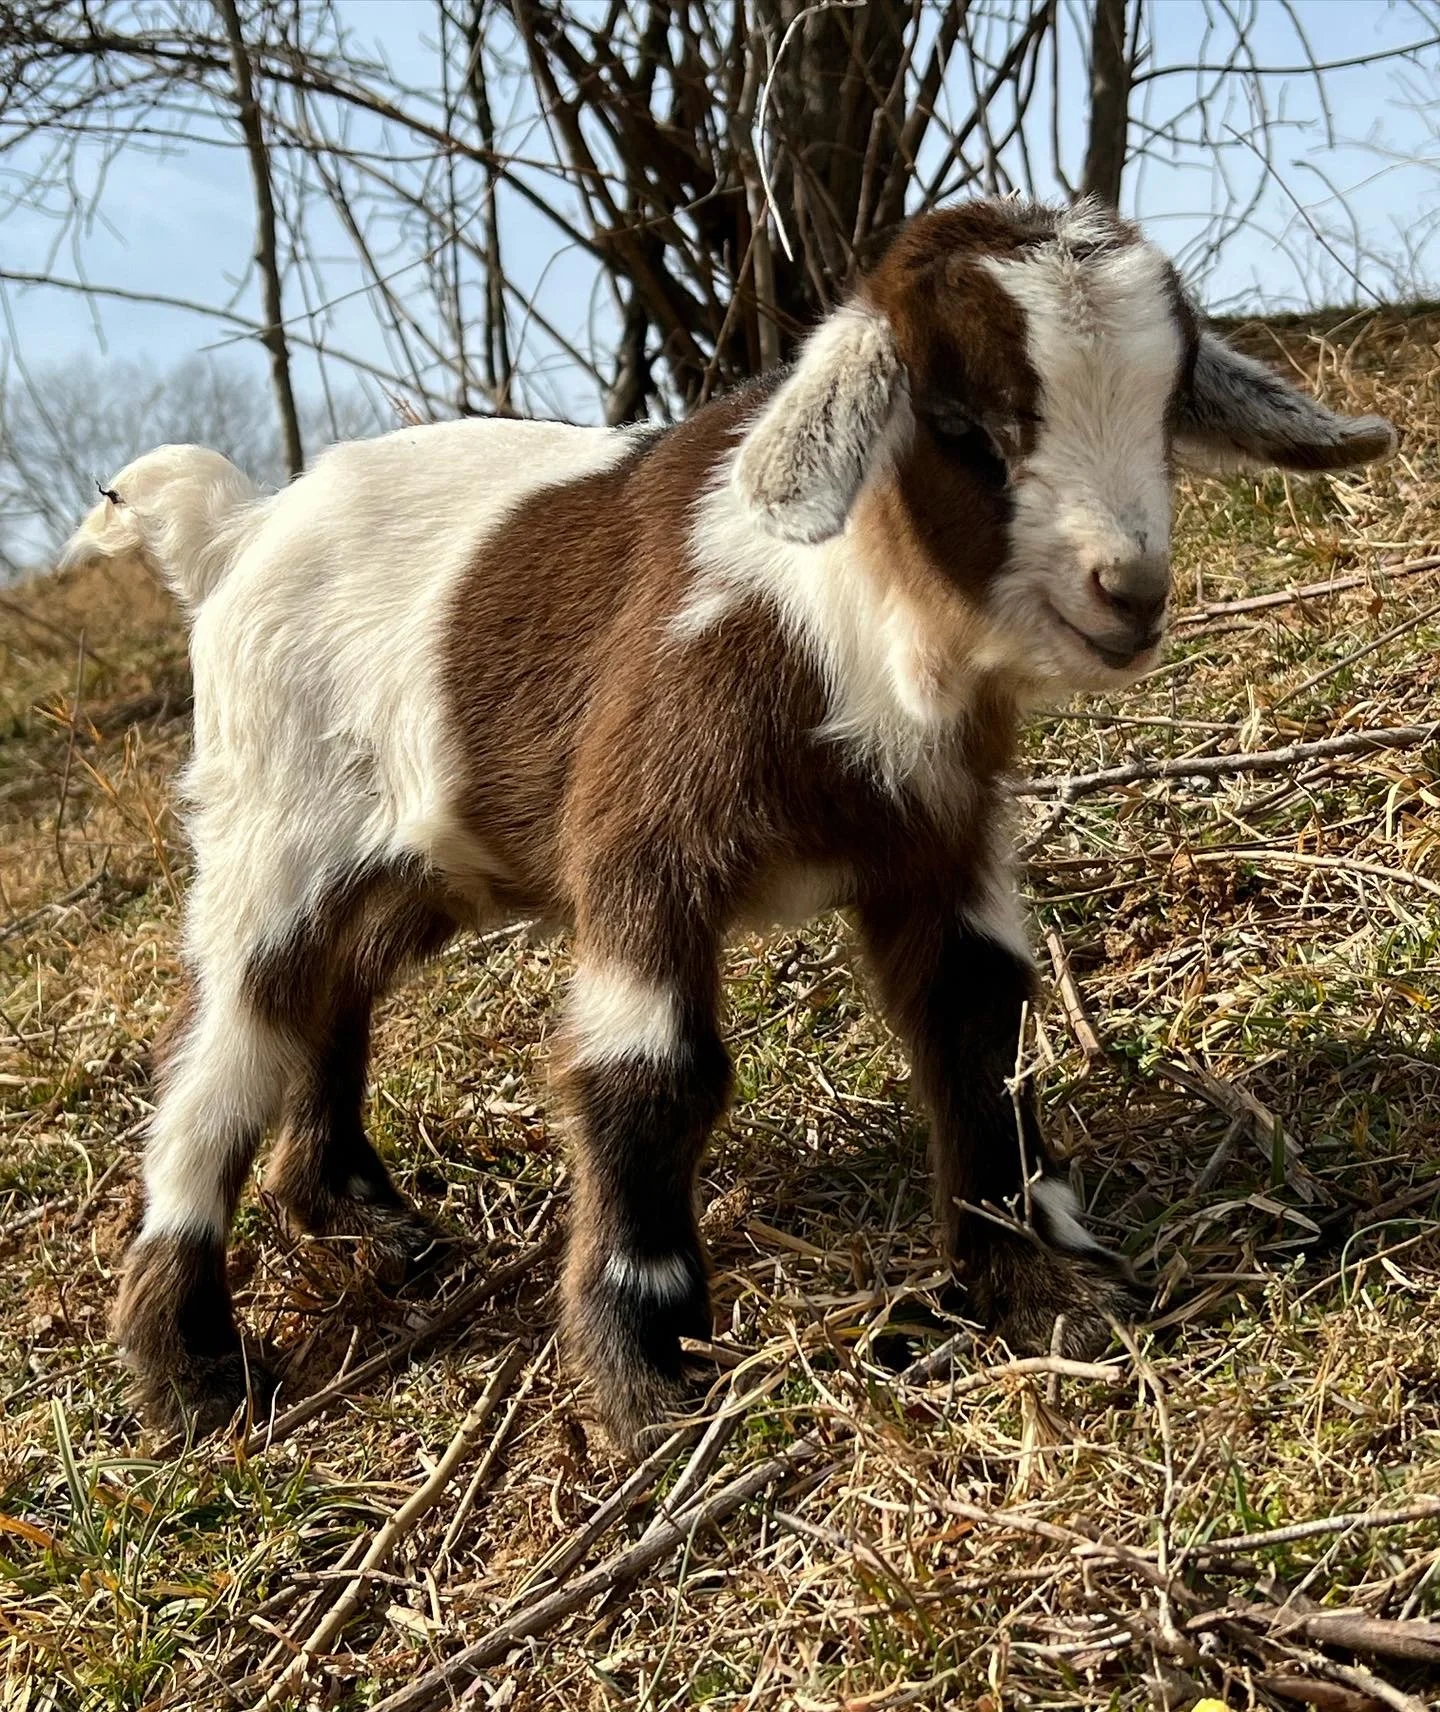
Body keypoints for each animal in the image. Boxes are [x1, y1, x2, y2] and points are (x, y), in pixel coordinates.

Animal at [64, 198, 1396, 1450]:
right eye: (963, 426)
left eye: (1168, 411)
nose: (1129, 591)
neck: (837, 614)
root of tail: (234, 531)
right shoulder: (645, 838)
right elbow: (651, 1070)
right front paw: (646, 1371)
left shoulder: (940, 840)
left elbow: (976, 1018)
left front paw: (1032, 1278)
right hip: (266, 822)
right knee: (224, 1043)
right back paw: (191, 1372)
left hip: (414, 858)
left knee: (333, 994)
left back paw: (362, 1218)